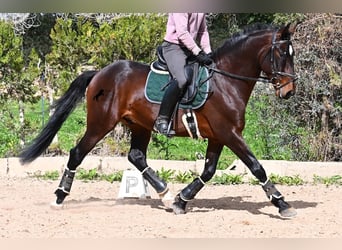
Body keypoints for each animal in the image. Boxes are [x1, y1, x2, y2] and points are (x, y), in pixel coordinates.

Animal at [18, 23, 298, 217]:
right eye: (282, 54)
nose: (289, 91)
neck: (225, 81)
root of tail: (100, 73)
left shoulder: (219, 136)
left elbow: (208, 171)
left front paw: (181, 200)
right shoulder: (229, 133)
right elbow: (256, 166)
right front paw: (282, 203)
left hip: (140, 126)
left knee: (136, 156)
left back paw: (165, 193)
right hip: (100, 124)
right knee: (77, 153)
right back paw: (59, 196)